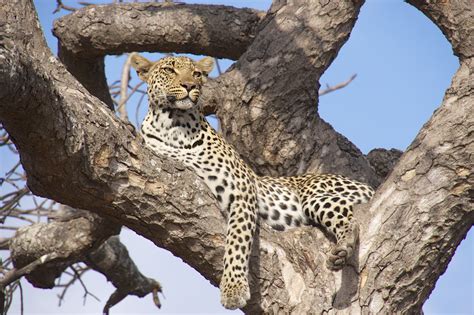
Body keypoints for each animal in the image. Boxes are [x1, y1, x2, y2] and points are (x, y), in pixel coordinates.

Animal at [131, 54, 374, 312]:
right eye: (169, 70)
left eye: (196, 73)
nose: (189, 86)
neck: (174, 125)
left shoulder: (241, 189)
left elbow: (237, 241)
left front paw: (233, 289)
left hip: (316, 197)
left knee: (350, 218)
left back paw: (342, 250)